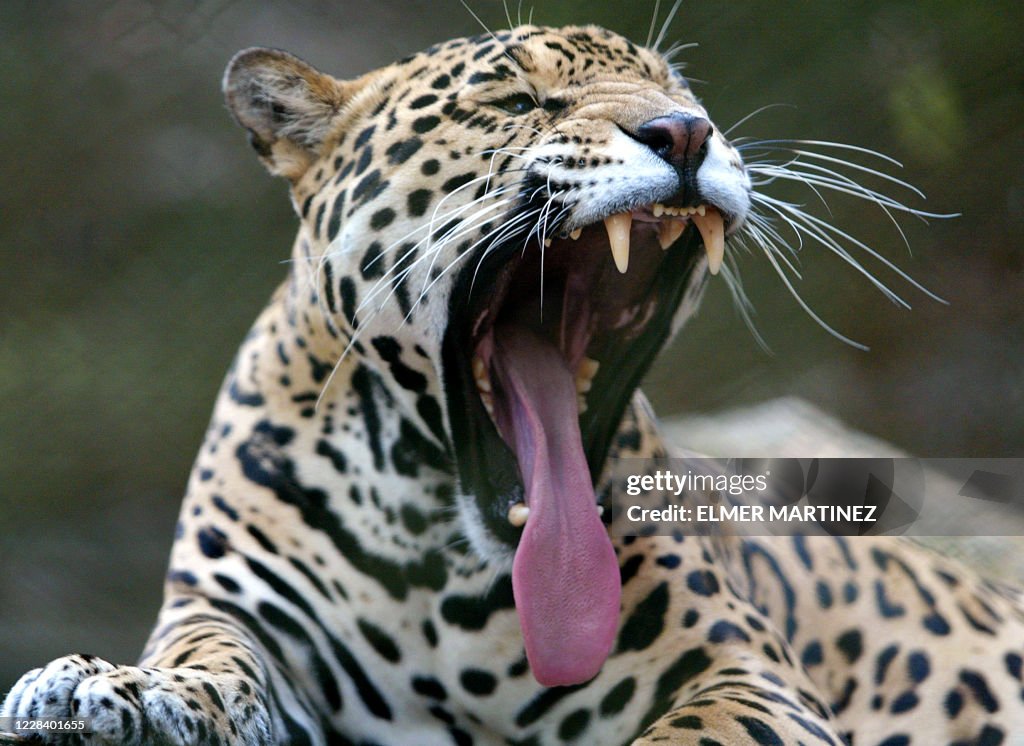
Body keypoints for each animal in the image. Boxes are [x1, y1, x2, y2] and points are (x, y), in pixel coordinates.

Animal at [4, 21, 1023, 746]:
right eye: (519, 99)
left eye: (680, 93)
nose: (686, 132)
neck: (430, 533)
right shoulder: (238, 608)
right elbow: (204, 655)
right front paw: (109, 686)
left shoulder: (742, 671)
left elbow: (695, 734)